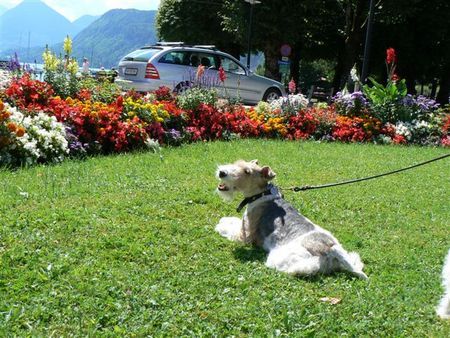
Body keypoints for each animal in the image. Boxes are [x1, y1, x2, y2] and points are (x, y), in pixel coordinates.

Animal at [216, 159, 368, 280]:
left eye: (247, 171)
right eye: (237, 163)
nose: (222, 172)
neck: (262, 195)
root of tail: (330, 248)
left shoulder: (245, 235)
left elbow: (230, 226)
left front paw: (220, 224)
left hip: (282, 258)